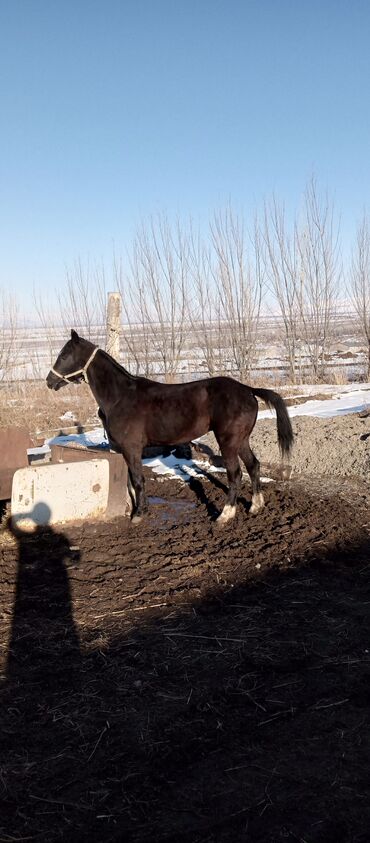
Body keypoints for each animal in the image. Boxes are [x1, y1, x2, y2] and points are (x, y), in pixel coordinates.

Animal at [46, 332, 294, 524]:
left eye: (64, 355)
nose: (49, 381)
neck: (120, 396)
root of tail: (248, 389)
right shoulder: (120, 449)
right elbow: (129, 481)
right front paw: (136, 508)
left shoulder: (132, 448)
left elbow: (138, 480)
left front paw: (139, 514)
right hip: (241, 440)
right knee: (254, 466)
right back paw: (256, 506)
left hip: (229, 441)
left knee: (235, 473)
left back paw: (225, 515)